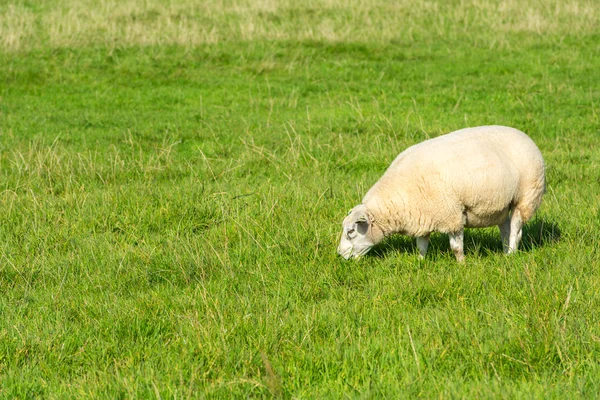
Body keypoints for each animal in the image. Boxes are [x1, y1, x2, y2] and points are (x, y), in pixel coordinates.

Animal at [340, 126, 548, 262]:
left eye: (351, 231)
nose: (340, 255)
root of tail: (525, 136)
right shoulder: (423, 215)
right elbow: (421, 245)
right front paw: (420, 262)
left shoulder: (452, 215)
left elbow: (456, 248)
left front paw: (462, 265)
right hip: (501, 204)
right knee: (505, 228)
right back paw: (504, 253)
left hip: (526, 196)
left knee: (516, 230)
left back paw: (511, 254)